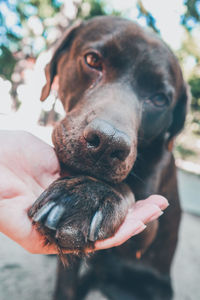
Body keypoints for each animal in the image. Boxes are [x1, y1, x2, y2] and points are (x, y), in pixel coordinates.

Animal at [28, 17, 189, 300]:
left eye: (159, 99)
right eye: (93, 60)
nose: (108, 142)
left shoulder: (142, 237)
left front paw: (89, 196)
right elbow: (66, 282)